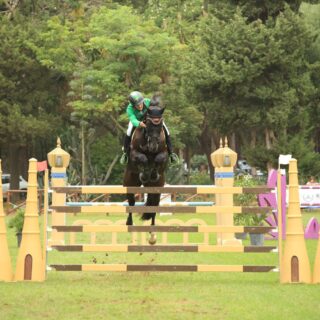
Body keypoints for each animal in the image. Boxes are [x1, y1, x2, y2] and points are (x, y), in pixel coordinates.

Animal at [122, 106, 169, 244]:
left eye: (160, 125)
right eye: (147, 123)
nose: (153, 146)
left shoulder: (164, 153)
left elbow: (159, 158)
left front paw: (152, 174)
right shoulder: (133, 154)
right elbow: (142, 158)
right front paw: (144, 173)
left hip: (157, 190)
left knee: (154, 207)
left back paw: (152, 235)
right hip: (129, 184)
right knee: (131, 204)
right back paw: (130, 224)